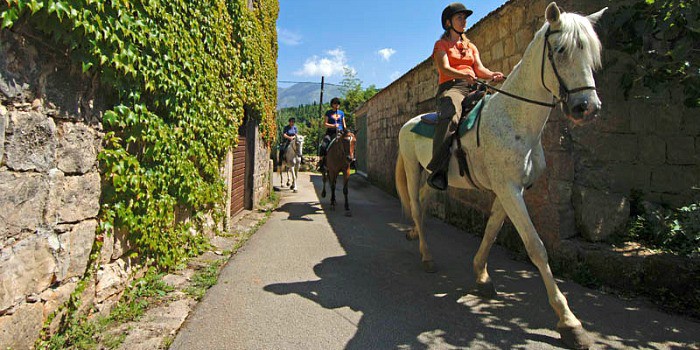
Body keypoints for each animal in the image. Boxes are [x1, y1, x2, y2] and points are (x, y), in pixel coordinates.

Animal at [396, 3, 604, 350]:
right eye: (561, 50)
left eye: (592, 52)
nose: (586, 107)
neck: (514, 119)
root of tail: (409, 122)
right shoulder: (509, 190)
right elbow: (536, 247)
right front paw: (569, 321)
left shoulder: (510, 189)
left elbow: (492, 231)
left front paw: (481, 276)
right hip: (413, 170)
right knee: (413, 203)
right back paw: (426, 256)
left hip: (433, 177)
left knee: (423, 205)